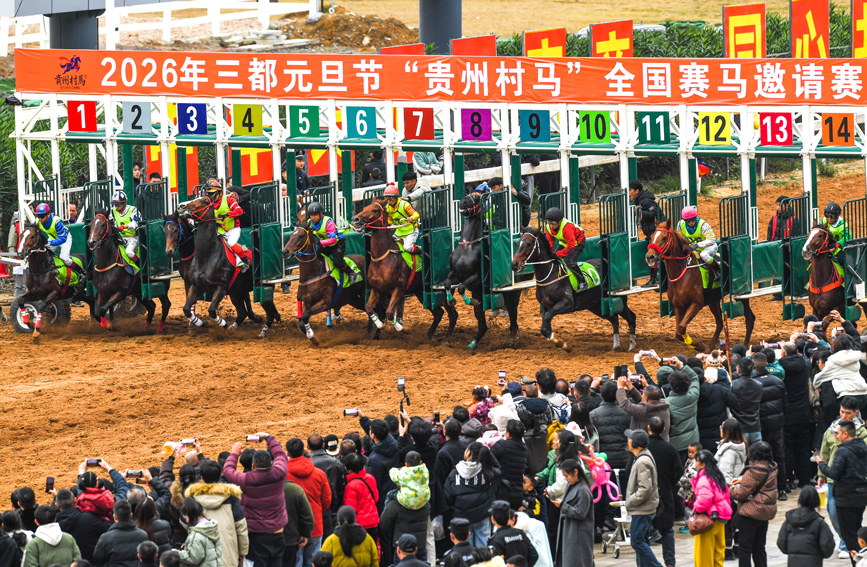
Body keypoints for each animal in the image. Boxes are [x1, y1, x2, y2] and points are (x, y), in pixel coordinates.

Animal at [177, 195, 280, 338]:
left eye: (203, 201)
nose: (181, 205)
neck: (207, 255)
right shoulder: (196, 286)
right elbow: (187, 309)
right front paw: (203, 324)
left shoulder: (221, 286)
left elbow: (212, 310)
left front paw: (224, 325)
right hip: (237, 291)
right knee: (243, 312)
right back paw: (235, 328)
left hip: (263, 289)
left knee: (270, 312)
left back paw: (262, 332)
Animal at [351, 198, 458, 339]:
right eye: (365, 207)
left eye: (374, 210)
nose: (355, 219)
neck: (384, 257)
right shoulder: (377, 289)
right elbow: (369, 308)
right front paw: (380, 326)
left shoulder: (398, 289)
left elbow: (390, 312)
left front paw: (402, 329)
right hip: (421, 292)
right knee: (439, 313)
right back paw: (429, 335)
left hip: (442, 292)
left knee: (452, 314)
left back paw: (447, 337)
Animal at [440, 193, 521, 349]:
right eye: (467, 194)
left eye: (477, 198)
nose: (463, 202)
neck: (467, 246)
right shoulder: (455, 275)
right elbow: (447, 283)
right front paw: (451, 300)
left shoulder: (477, 278)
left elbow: (461, 287)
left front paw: (470, 301)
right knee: (483, 326)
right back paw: (473, 343)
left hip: (510, 295)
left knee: (513, 317)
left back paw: (511, 342)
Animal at [645, 219, 755, 350]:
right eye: (652, 236)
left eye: (664, 237)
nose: (649, 257)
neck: (682, 273)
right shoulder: (678, 306)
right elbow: (678, 332)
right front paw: (695, 344)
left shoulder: (696, 304)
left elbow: (681, 327)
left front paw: (698, 345)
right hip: (713, 300)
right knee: (719, 322)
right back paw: (710, 346)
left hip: (742, 295)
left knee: (749, 319)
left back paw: (744, 345)